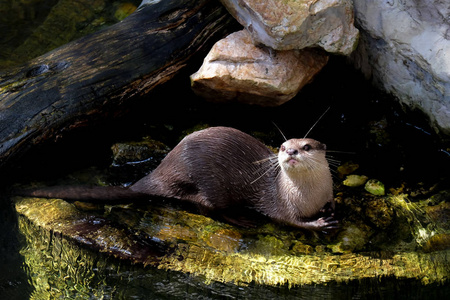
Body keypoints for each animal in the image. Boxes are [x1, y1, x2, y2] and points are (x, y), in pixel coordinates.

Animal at [21, 126, 338, 232]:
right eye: (282, 147)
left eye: (306, 146)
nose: (291, 151)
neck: (310, 196)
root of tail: (162, 170)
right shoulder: (281, 204)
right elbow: (289, 221)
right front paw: (320, 223)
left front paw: (332, 209)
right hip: (209, 184)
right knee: (206, 206)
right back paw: (241, 219)